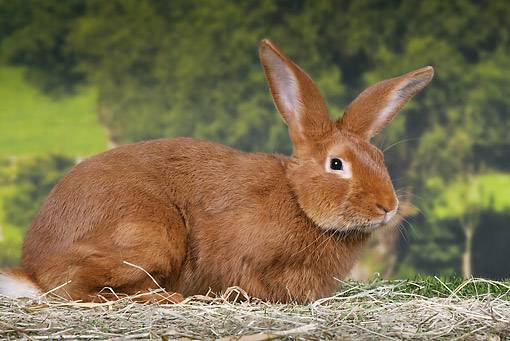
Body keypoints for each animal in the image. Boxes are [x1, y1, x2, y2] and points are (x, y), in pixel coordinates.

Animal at [0, 39, 434, 302]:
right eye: (336, 163)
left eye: (378, 158)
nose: (388, 207)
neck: (298, 201)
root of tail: (35, 267)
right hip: (150, 235)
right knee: (83, 289)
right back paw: (168, 298)